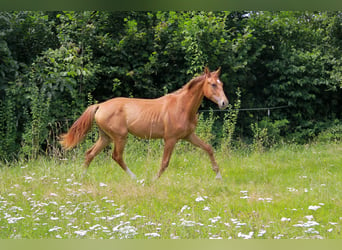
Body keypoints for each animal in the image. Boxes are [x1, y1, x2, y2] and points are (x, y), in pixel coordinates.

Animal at [60, 67, 228, 180]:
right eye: (212, 84)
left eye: (222, 84)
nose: (224, 103)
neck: (181, 107)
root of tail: (100, 106)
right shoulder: (170, 139)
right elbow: (164, 162)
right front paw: (153, 180)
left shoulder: (189, 136)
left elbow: (208, 148)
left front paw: (218, 176)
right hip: (120, 137)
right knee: (116, 156)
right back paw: (136, 178)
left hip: (105, 137)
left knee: (90, 153)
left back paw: (81, 177)